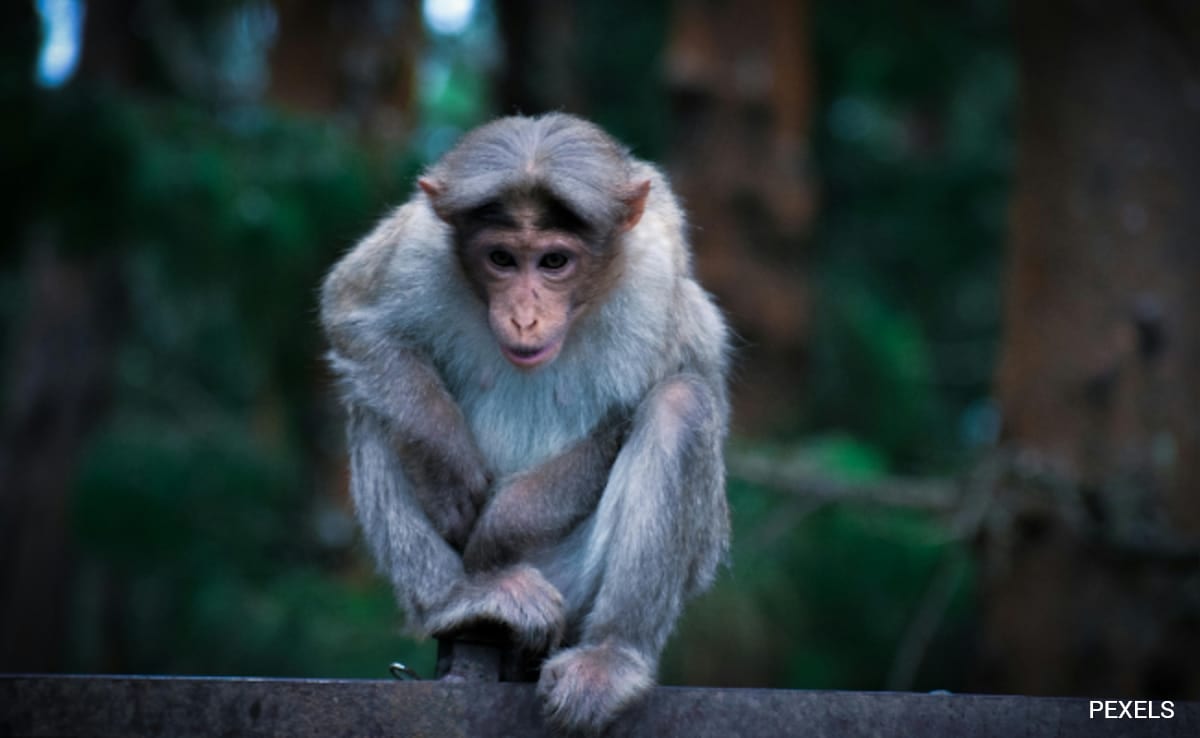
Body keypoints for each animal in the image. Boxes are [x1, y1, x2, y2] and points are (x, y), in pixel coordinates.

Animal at [320, 113, 730, 734]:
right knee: (372, 401)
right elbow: (354, 318)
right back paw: (458, 597)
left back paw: (611, 655)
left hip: (573, 586)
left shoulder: (657, 280)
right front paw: (445, 463)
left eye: (554, 262)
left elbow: (655, 405)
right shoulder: (418, 247)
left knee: (681, 405)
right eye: (502, 259)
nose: (524, 316)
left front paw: (500, 525)